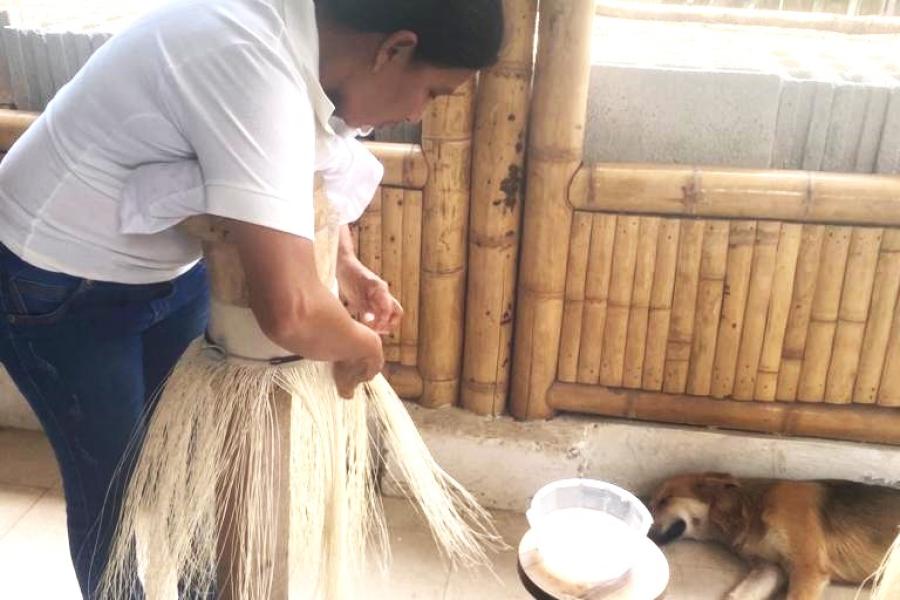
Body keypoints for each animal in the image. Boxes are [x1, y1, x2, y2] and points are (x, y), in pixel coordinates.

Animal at [648, 474, 900, 600]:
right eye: (651, 505)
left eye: (665, 501)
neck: (750, 508)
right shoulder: (769, 569)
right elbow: (737, 596)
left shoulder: (807, 569)